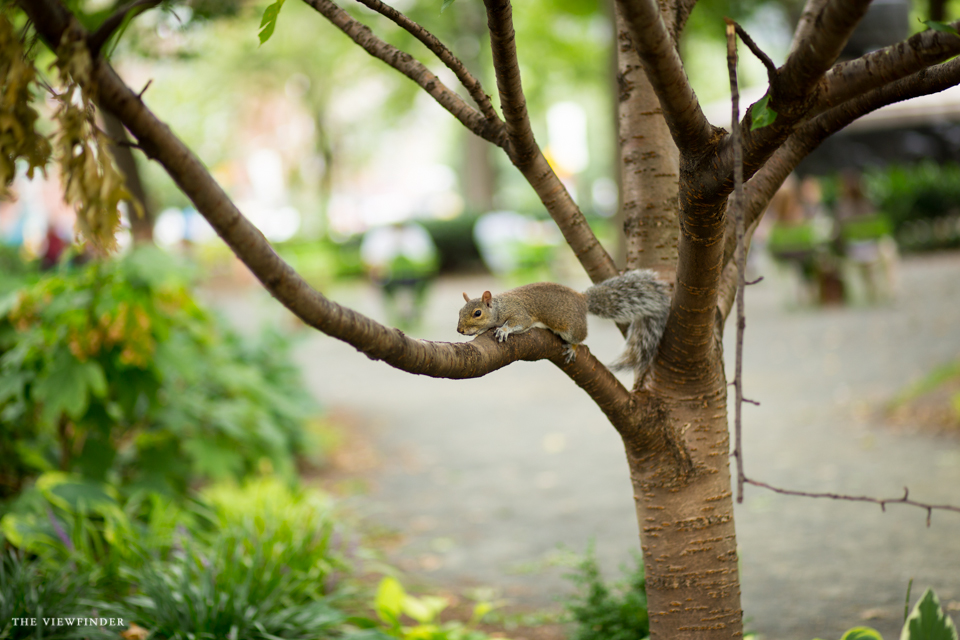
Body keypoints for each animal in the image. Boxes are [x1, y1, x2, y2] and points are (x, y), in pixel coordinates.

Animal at [457, 269, 670, 378]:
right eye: (459, 311)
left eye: (477, 313)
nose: (460, 330)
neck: (499, 307)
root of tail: (583, 300)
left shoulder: (520, 313)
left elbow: (518, 322)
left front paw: (503, 329)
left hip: (571, 328)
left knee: (580, 337)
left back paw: (573, 348)